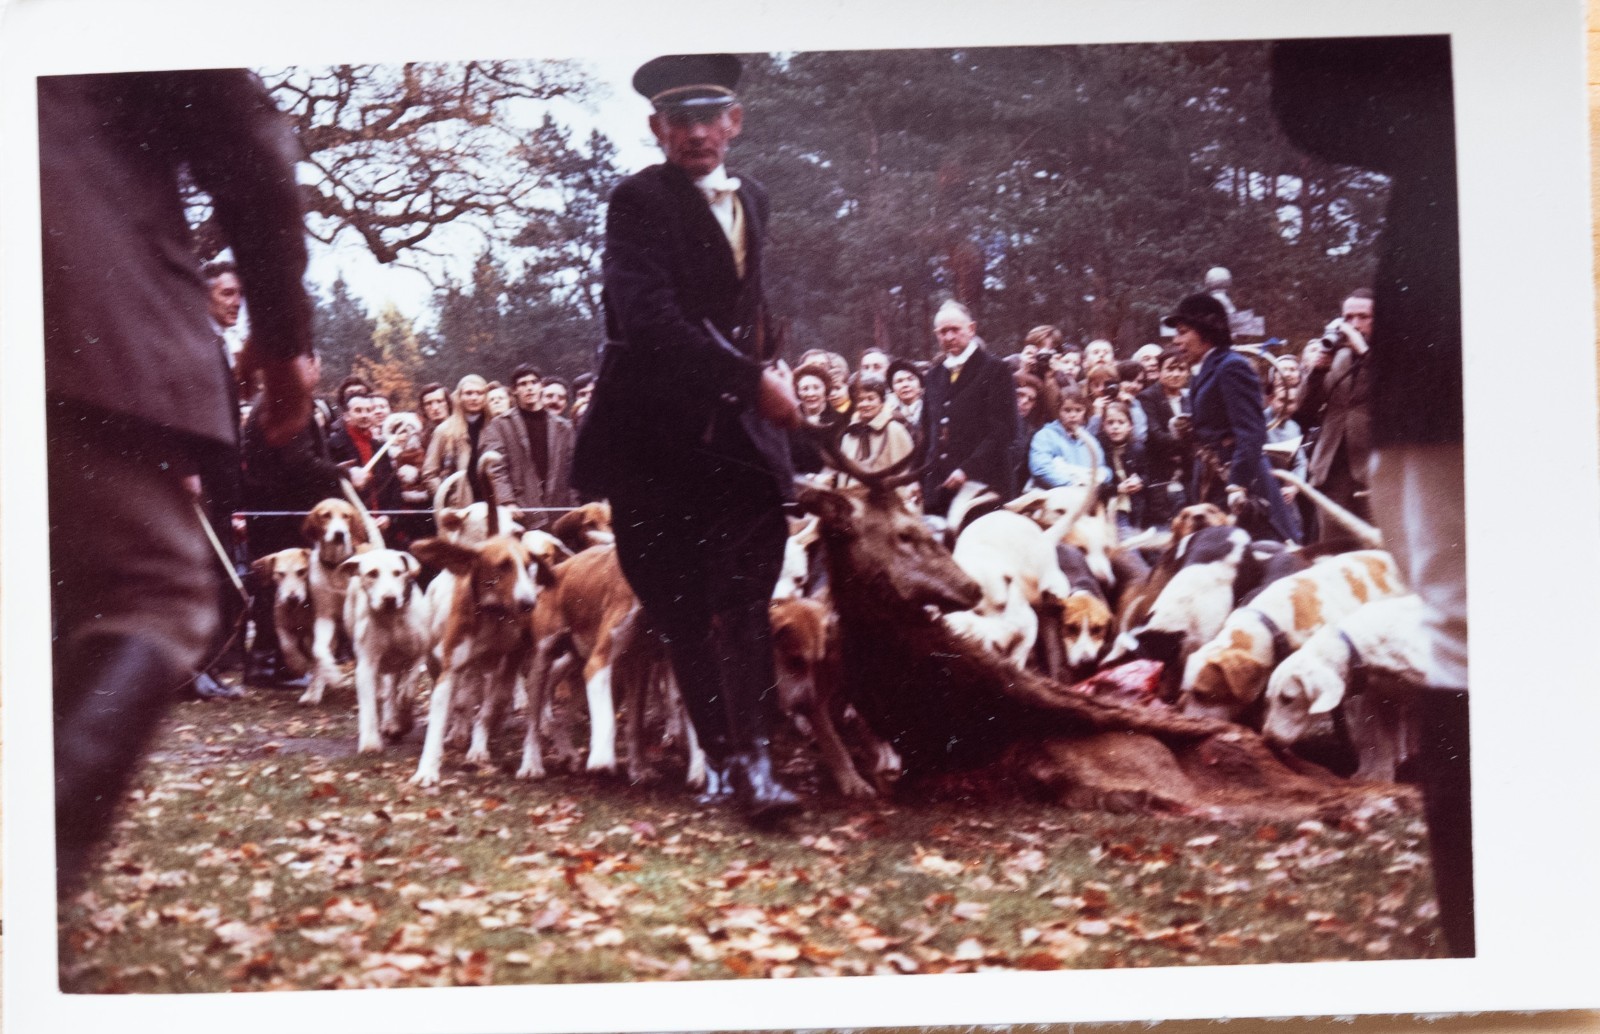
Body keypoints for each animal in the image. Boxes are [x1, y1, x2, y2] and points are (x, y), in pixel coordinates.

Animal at [249, 547, 315, 680]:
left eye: (301, 571)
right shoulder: (282, 628)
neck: (295, 610)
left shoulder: (310, 627)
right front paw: (298, 666)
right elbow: (288, 647)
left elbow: (309, 645)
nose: (293, 598)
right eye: (280, 574)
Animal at [340, 548, 430, 753]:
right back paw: (391, 722)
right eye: (372, 574)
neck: (391, 619)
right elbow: (369, 705)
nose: (389, 599)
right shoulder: (367, 664)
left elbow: (410, 685)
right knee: (388, 690)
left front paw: (405, 715)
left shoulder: (420, 652)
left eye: (398, 573)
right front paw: (370, 743)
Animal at [1262, 594, 1424, 781]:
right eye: (1268, 699)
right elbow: (1380, 737)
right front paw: (1375, 776)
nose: (1268, 740)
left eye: (1287, 698)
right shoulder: (1380, 694)